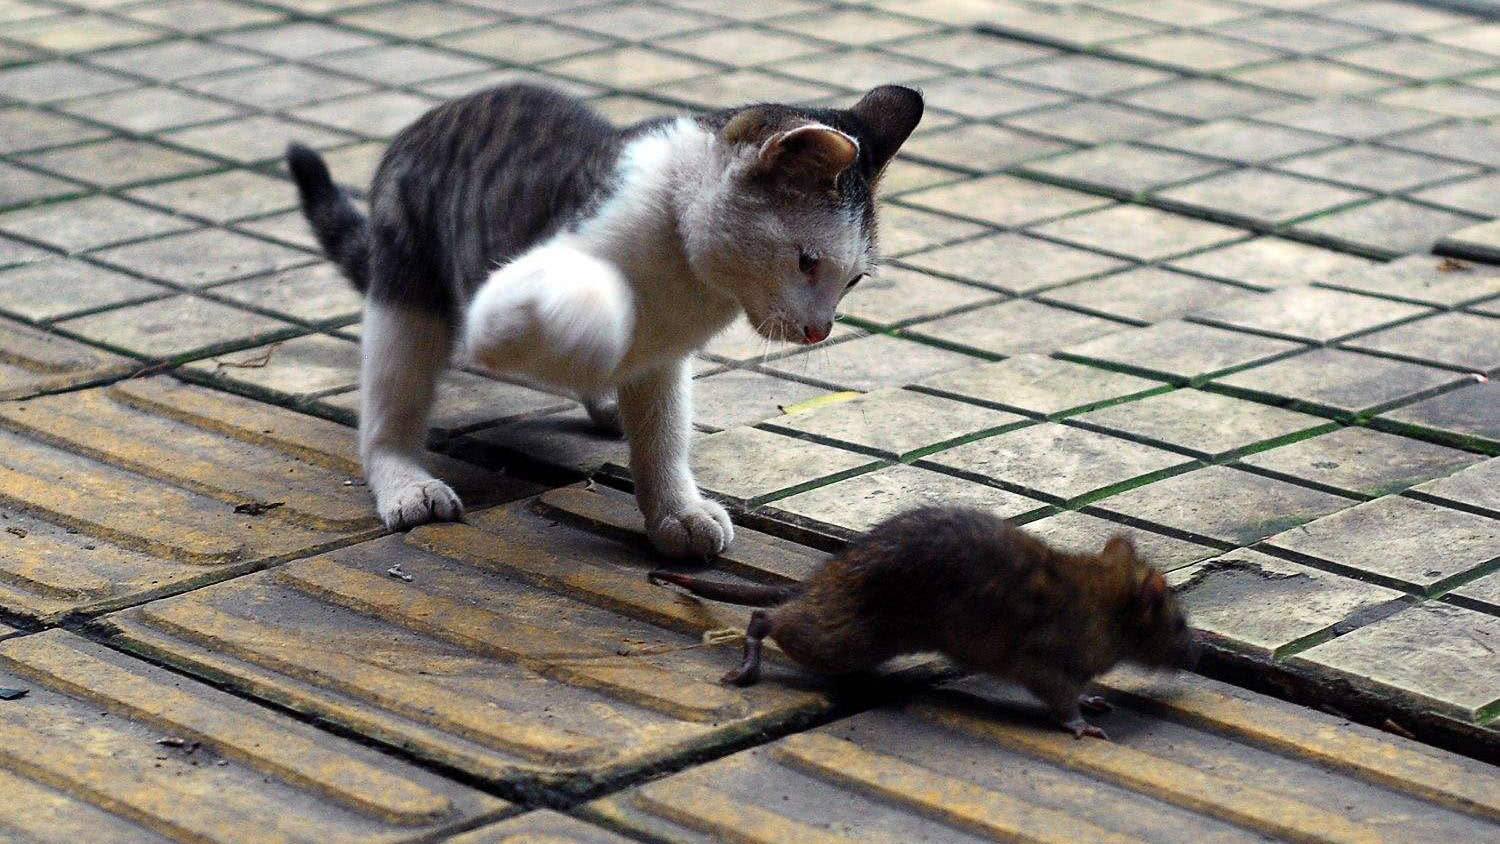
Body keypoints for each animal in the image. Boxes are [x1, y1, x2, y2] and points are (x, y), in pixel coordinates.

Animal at [289, 84, 924, 560]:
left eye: (854, 280)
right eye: (808, 261)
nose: (821, 330)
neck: (686, 269)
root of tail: (427, 123)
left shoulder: (665, 359)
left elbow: (664, 435)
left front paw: (677, 513)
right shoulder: (498, 297)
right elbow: (602, 298)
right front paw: (595, 333)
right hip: (407, 290)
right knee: (389, 408)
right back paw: (407, 482)